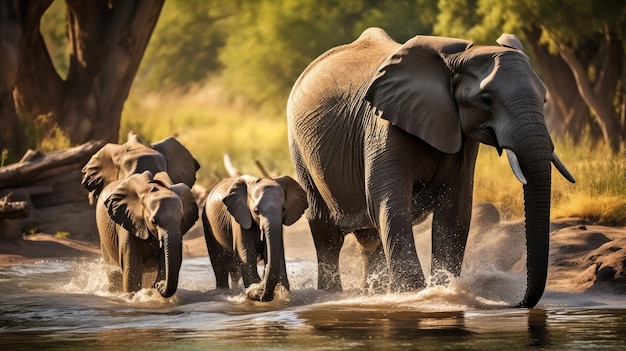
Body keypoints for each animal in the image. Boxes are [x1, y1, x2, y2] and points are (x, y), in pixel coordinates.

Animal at [286, 28, 572, 308]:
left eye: (544, 99)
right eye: (486, 100)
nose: (518, 303)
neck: (455, 59)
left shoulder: (461, 138)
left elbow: (454, 212)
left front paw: (443, 290)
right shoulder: (383, 126)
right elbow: (390, 204)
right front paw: (412, 293)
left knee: (369, 236)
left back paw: (371, 293)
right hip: (299, 149)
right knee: (325, 229)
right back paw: (331, 296)